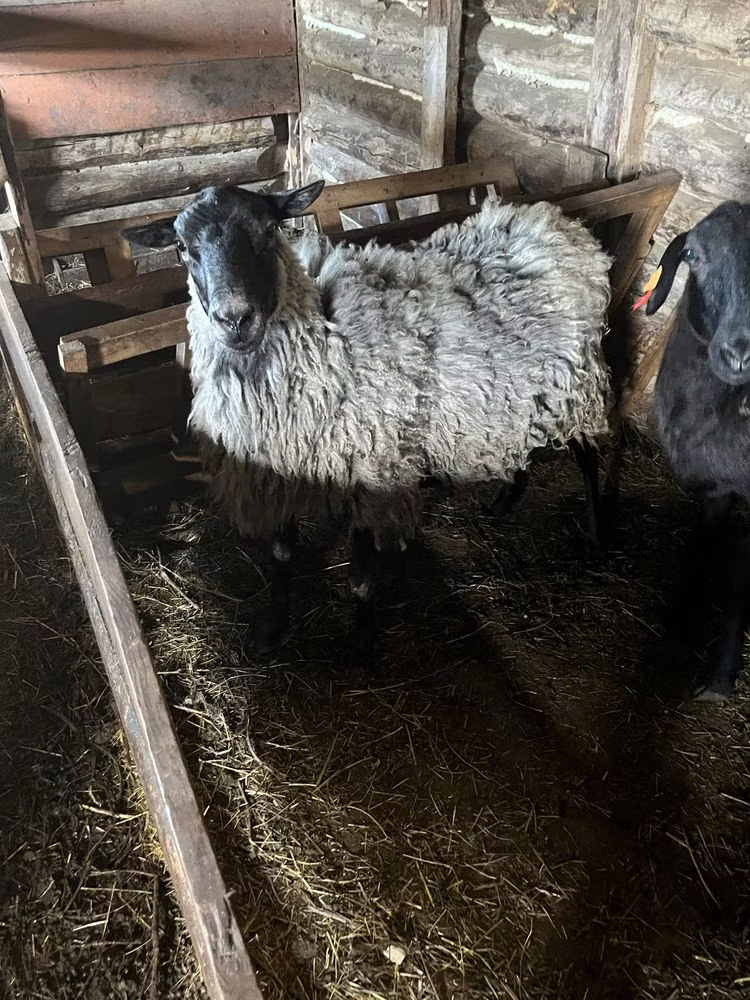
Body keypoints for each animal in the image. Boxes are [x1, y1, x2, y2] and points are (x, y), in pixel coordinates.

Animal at [121, 181, 613, 652]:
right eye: (182, 246)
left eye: (268, 230)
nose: (236, 320)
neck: (326, 342)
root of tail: (554, 222)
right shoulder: (280, 468)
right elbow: (281, 555)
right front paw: (274, 627)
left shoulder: (371, 465)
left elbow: (359, 576)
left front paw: (361, 637)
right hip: (518, 392)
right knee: (520, 441)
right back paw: (503, 501)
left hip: (575, 383)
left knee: (588, 455)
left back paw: (594, 538)